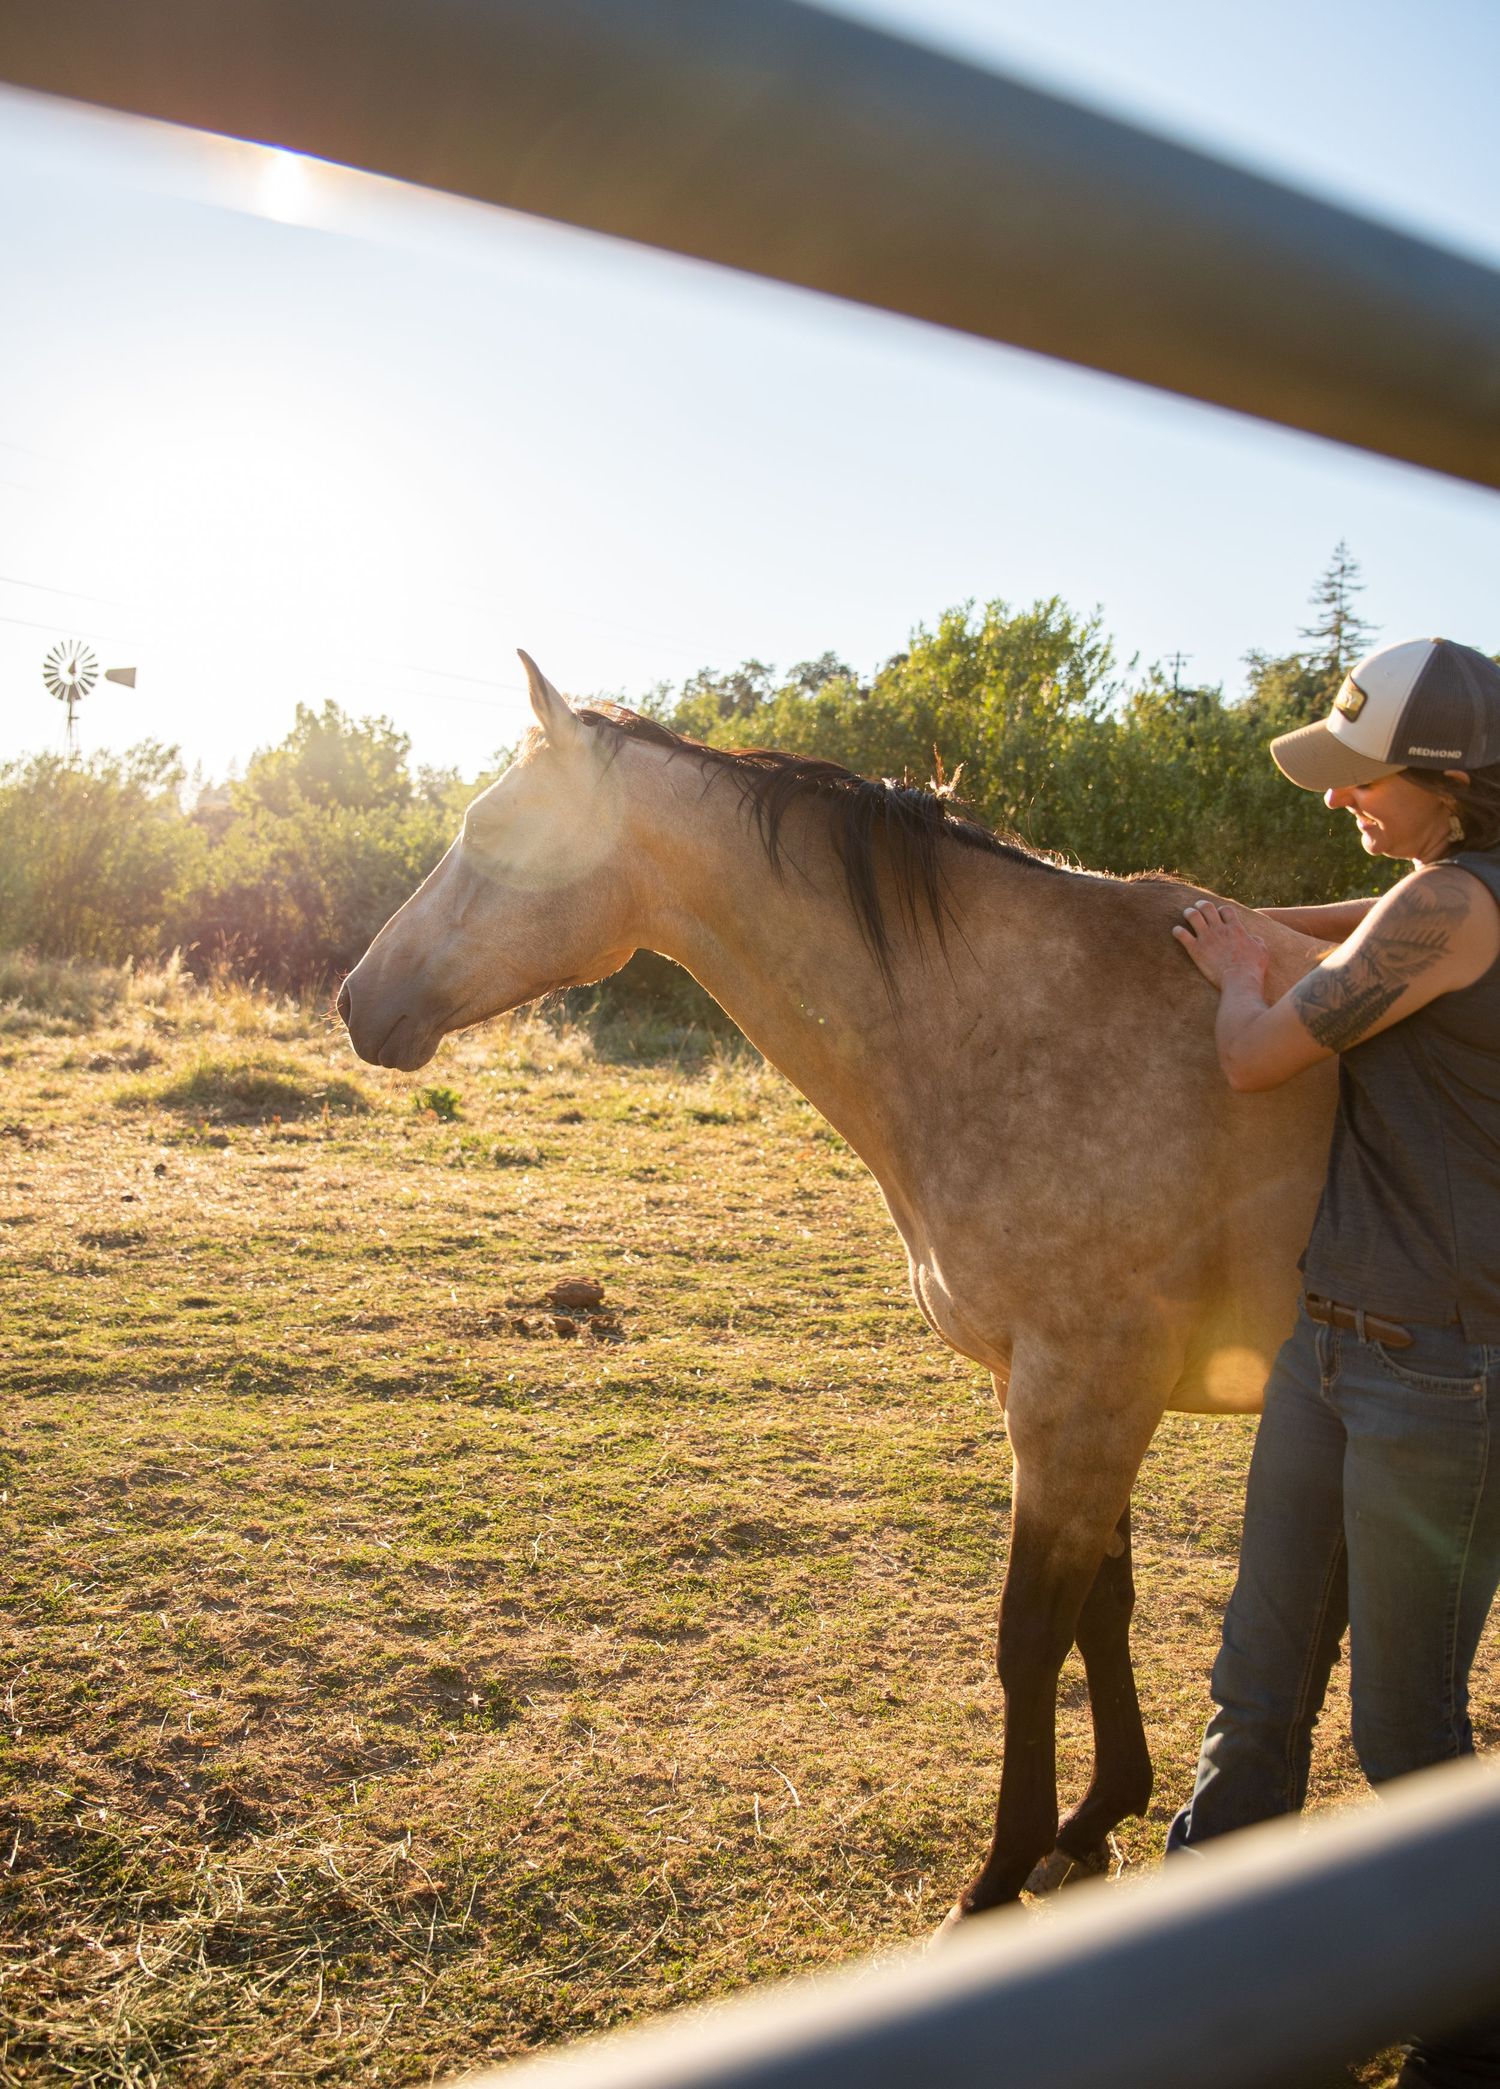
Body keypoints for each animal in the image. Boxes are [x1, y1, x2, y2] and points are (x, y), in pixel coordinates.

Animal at [338, 652, 1337, 1919]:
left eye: (491, 830)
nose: (356, 998)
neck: (1023, 1029)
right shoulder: (1075, 1396)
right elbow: (1102, 1610)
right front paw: (1096, 1818)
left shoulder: (1084, 1393)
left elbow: (1031, 1635)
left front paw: (999, 1873)